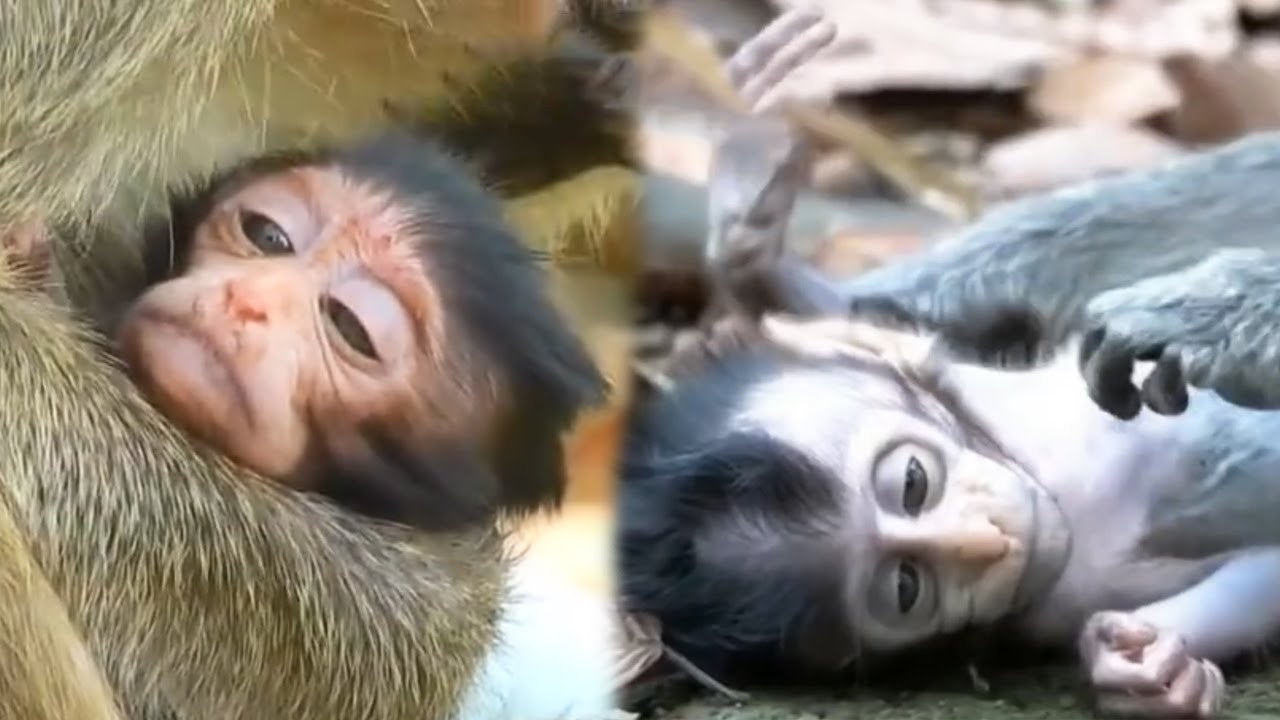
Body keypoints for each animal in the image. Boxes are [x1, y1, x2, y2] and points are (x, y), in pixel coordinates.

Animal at [614, 311, 1280, 719]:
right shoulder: (1057, 593)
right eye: (906, 587)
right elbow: (1258, 568)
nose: (987, 541)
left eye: (913, 482)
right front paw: (1151, 671)